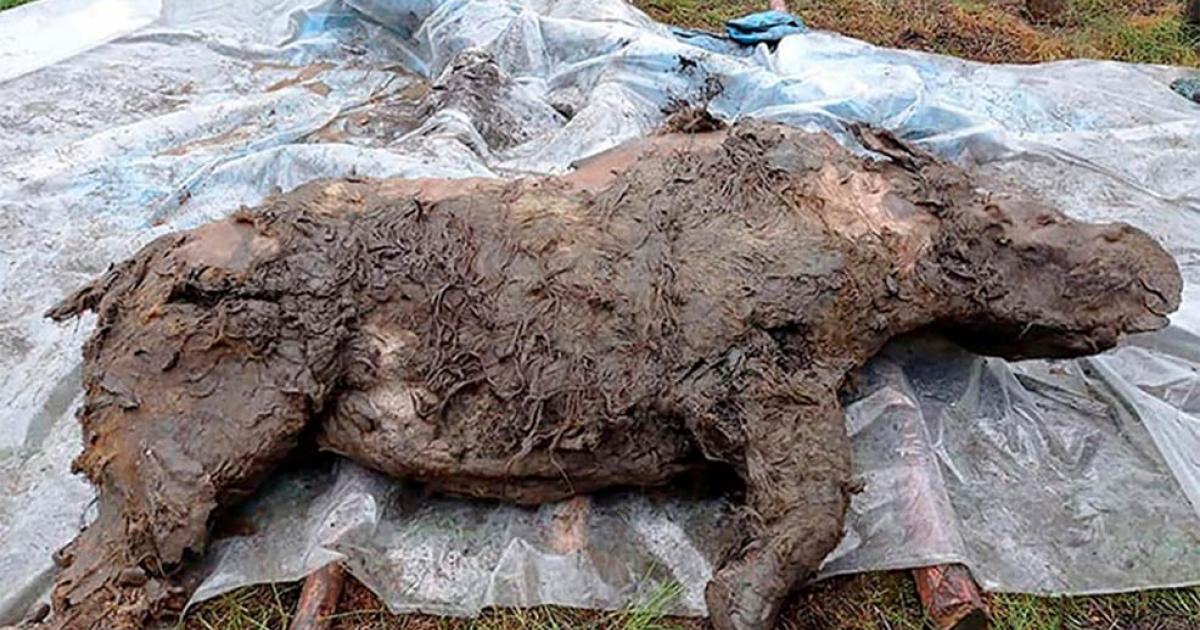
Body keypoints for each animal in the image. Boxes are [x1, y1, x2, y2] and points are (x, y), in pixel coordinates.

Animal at [44, 120, 1181, 630]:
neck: (874, 241)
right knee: (109, 564)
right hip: (218, 415)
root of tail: (122, 276)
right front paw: (738, 597)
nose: (1164, 266)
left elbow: (808, 500)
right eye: (1021, 213)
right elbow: (813, 505)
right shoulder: (750, 370)